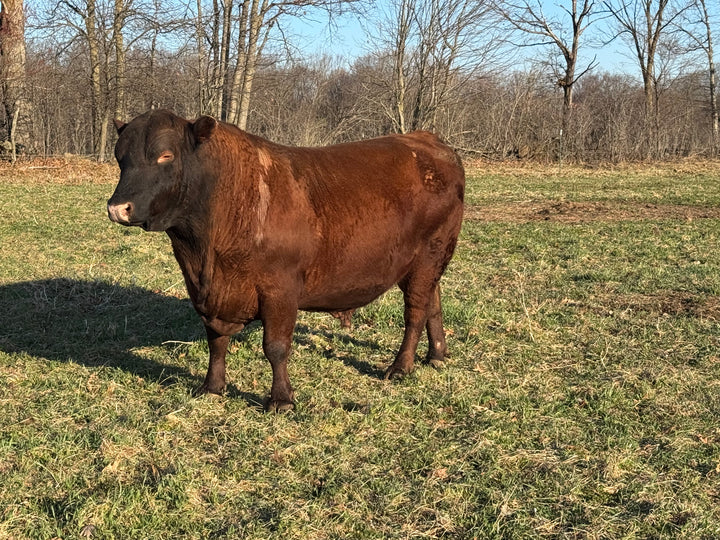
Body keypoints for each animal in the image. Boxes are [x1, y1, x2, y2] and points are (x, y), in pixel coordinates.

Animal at [107, 109, 465, 412]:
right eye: (120, 157)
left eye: (165, 155)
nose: (117, 208)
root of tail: (428, 140)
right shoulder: (208, 293)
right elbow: (216, 341)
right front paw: (212, 387)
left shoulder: (280, 290)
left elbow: (276, 347)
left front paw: (281, 399)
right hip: (427, 262)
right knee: (433, 301)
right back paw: (437, 354)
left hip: (428, 256)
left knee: (415, 312)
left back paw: (401, 366)